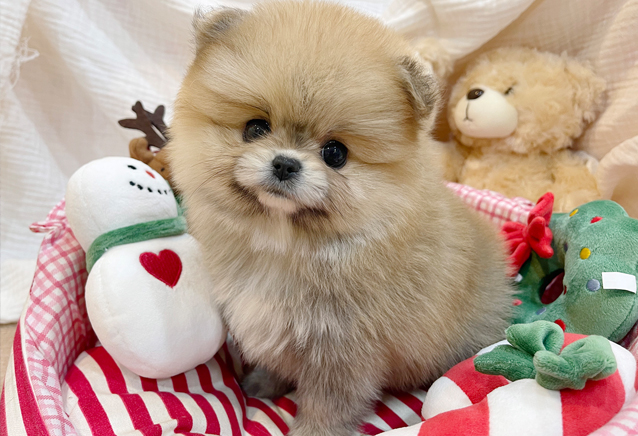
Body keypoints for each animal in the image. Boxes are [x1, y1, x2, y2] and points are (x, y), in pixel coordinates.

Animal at [167, 2, 515, 435]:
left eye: (335, 153)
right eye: (255, 128)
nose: (285, 163)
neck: (284, 244)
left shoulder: (343, 353)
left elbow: (326, 406)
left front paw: (309, 430)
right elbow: (276, 361)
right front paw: (264, 382)